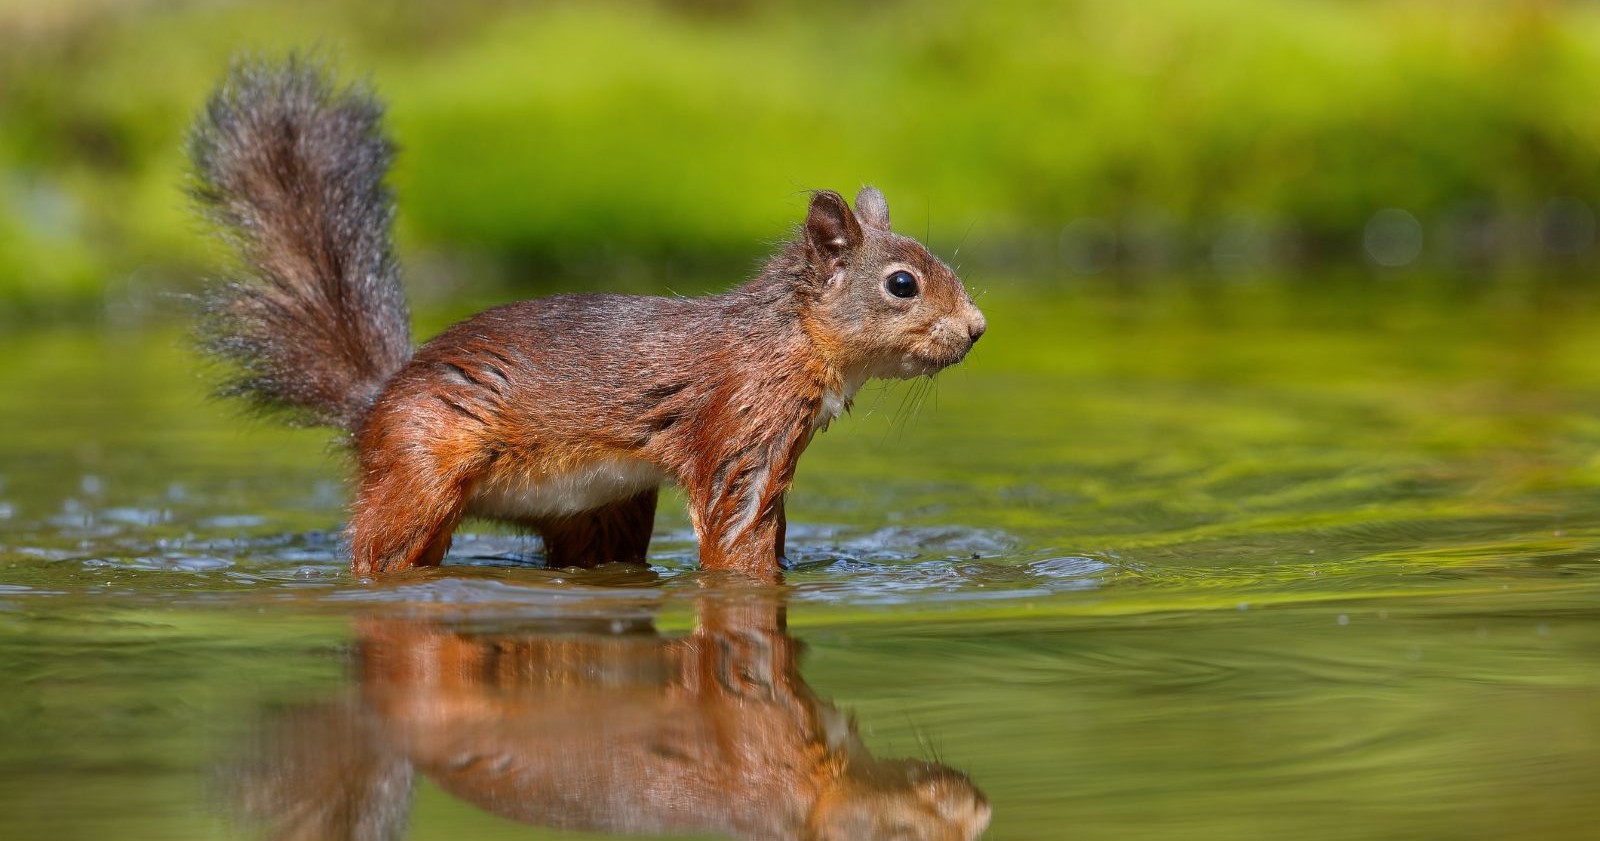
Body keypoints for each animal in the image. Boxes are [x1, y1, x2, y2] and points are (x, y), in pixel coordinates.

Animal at [189, 58, 986, 580]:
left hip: (601, 512)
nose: (976, 327)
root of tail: (372, 405)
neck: (785, 337)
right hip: (420, 470)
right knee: (381, 546)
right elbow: (737, 534)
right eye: (903, 284)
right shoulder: (739, 428)